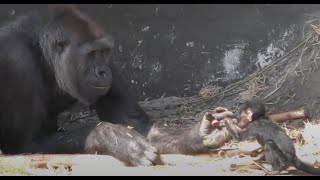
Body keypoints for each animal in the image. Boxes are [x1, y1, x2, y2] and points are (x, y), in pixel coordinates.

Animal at [0, 4, 235, 166]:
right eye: (91, 53)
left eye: (104, 52)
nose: (103, 71)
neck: (41, 48)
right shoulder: (17, 61)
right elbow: (30, 143)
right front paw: (111, 136)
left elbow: (137, 124)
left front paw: (200, 134)